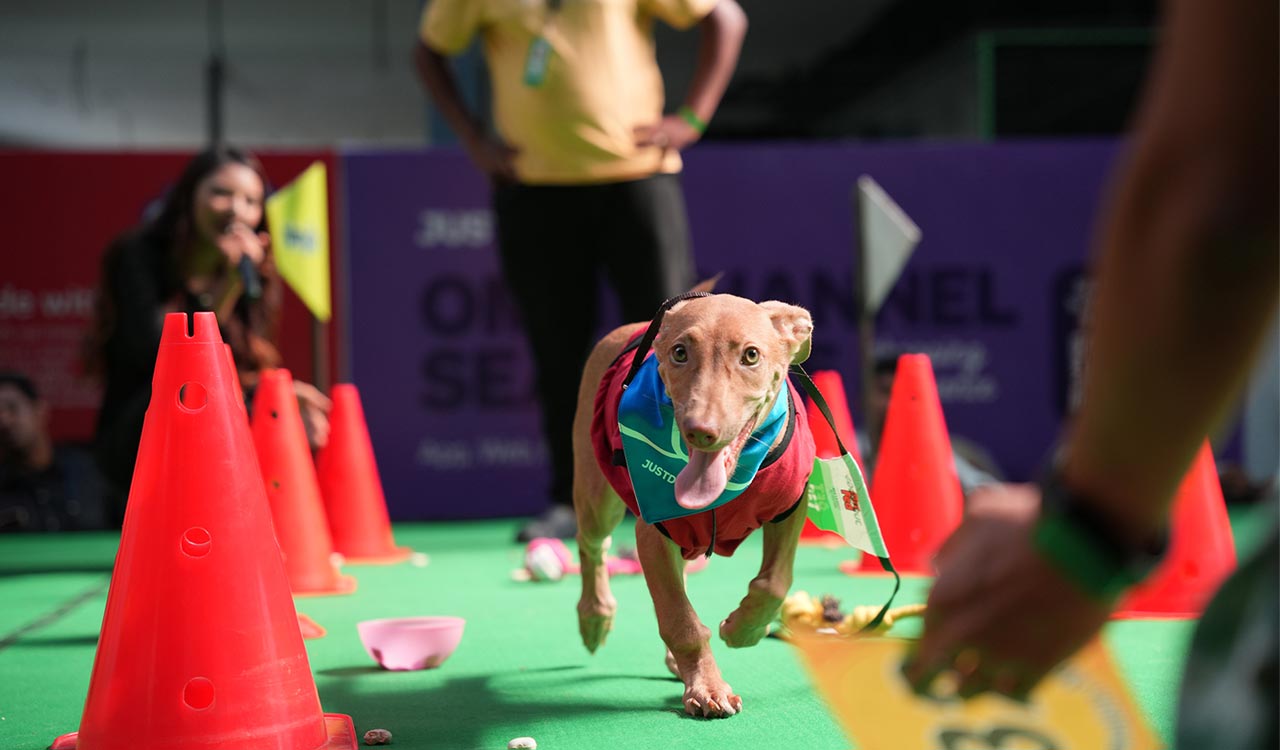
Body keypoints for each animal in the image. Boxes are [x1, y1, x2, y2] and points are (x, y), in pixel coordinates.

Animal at [573, 290, 814, 711]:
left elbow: (774, 582)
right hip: (595, 496)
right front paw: (708, 687)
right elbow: (680, 620)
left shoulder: (790, 506)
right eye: (680, 353)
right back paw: (595, 617)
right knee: (592, 544)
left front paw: (743, 629)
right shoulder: (653, 531)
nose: (700, 431)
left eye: (751, 355)